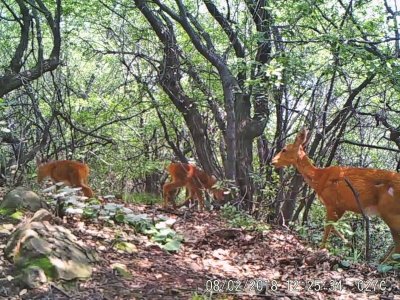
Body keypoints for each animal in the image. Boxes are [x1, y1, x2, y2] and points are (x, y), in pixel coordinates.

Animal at [270, 126, 400, 262]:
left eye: (284, 149)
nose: (272, 161)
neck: (320, 178)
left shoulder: (331, 202)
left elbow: (327, 227)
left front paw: (321, 249)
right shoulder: (341, 206)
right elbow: (333, 227)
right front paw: (349, 245)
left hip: (390, 211)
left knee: (398, 244)